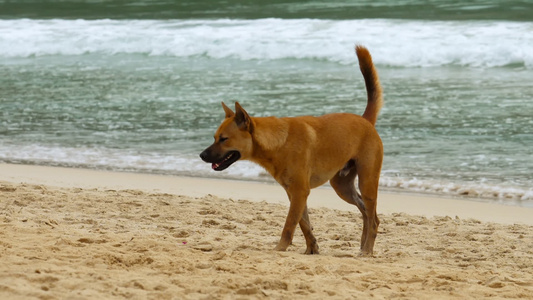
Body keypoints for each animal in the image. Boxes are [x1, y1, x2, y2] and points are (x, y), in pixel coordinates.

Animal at [201, 45, 382, 255]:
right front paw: (312, 248)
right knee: (366, 213)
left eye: (224, 139)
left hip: (367, 182)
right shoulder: (294, 193)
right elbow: (303, 224)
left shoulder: (299, 192)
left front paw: (280, 248)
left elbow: (289, 225)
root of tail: (365, 121)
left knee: (374, 219)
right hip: (343, 187)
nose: (202, 155)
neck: (279, 142)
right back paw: (363, 245)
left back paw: (367, 250)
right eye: (214, 137)